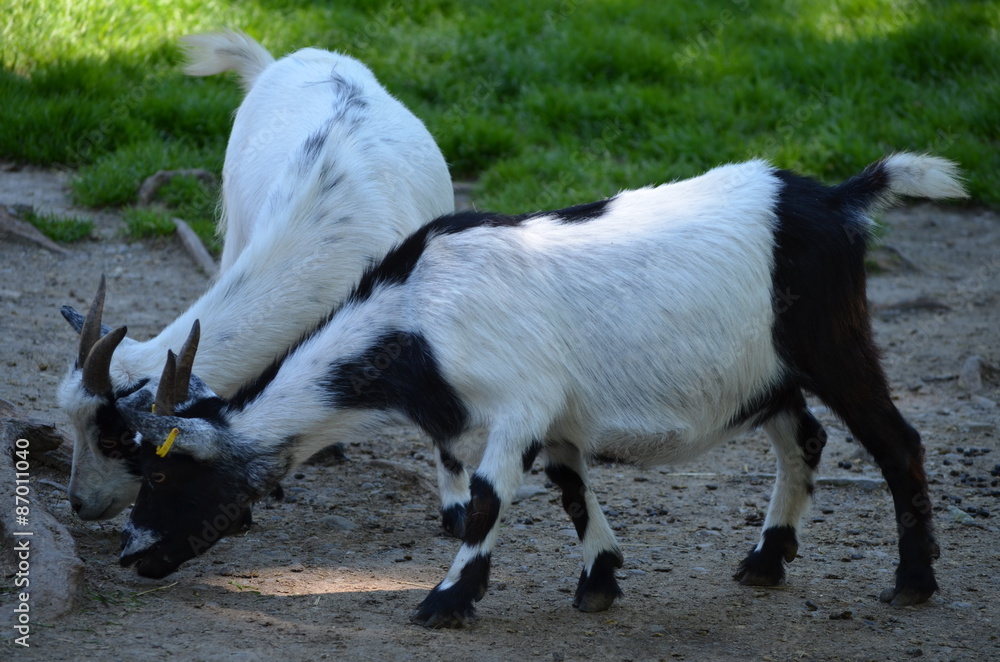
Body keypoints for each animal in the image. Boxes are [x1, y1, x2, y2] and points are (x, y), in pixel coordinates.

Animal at [114, 153, 965, 628]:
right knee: (804, 439)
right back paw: (765, 560)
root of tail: (839, 199)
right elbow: (571, 489)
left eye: (162, 474)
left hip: (833, 342)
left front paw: (446, 602)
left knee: (898, 443)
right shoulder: (555, 414)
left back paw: (912, 583)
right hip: (768, 373)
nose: (131, 556)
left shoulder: (518, 405)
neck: (417, 315)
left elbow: (489, 501)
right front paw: (600, 580)